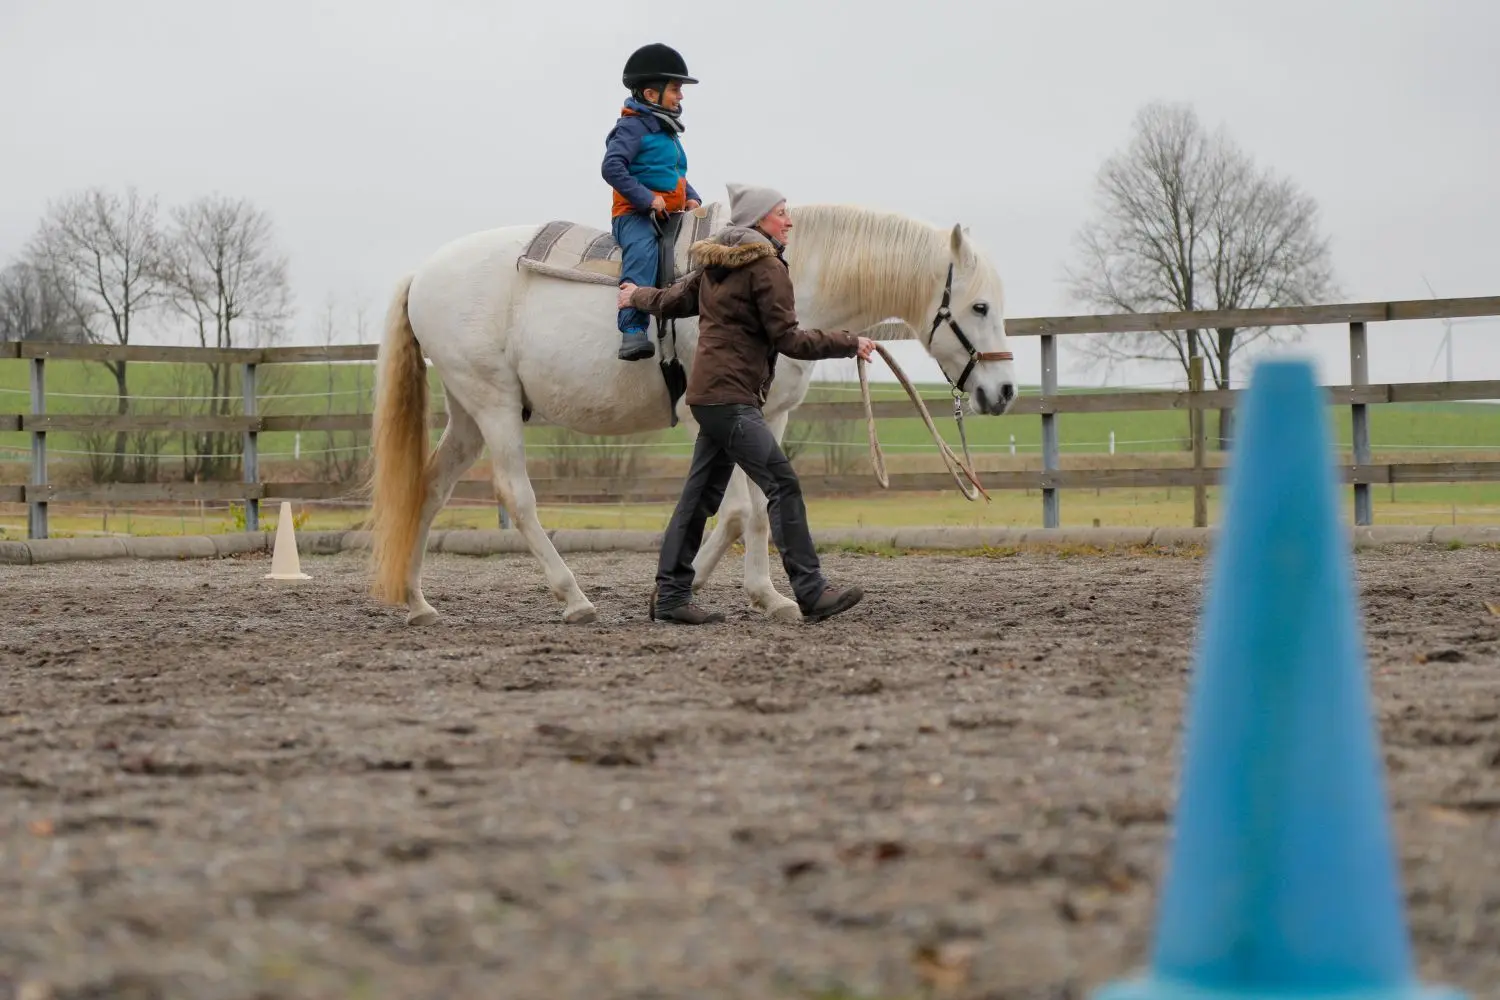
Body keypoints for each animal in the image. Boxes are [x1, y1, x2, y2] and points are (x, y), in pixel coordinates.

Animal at [366, 200, 1018, 626]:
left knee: (428, 488)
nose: (1006, 391)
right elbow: (748, 510)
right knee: (515, 496)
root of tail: (422, 273)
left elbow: (741, 511)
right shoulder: (736, 416)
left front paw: (695, 589)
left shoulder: (766, 416)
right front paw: (767, 595)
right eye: (979, 306)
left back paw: (418, 603)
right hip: (495, 405)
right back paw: (573, 598)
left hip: (468, 413)